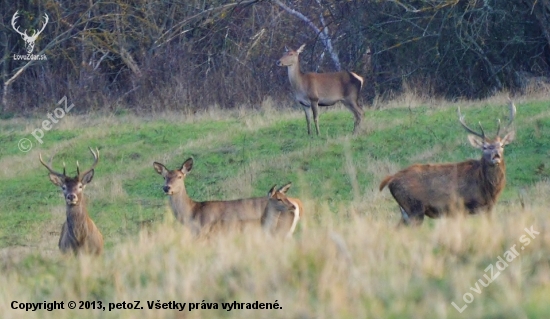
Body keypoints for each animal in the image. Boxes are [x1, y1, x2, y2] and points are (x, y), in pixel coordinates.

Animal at [382, 102, 520, 225]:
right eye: (484, 147)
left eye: (501, 145)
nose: (496, 154)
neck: (487, 188)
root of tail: (390, 179)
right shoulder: (463, 206)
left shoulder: (488, 207)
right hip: (414, 208)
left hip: (405, 211)